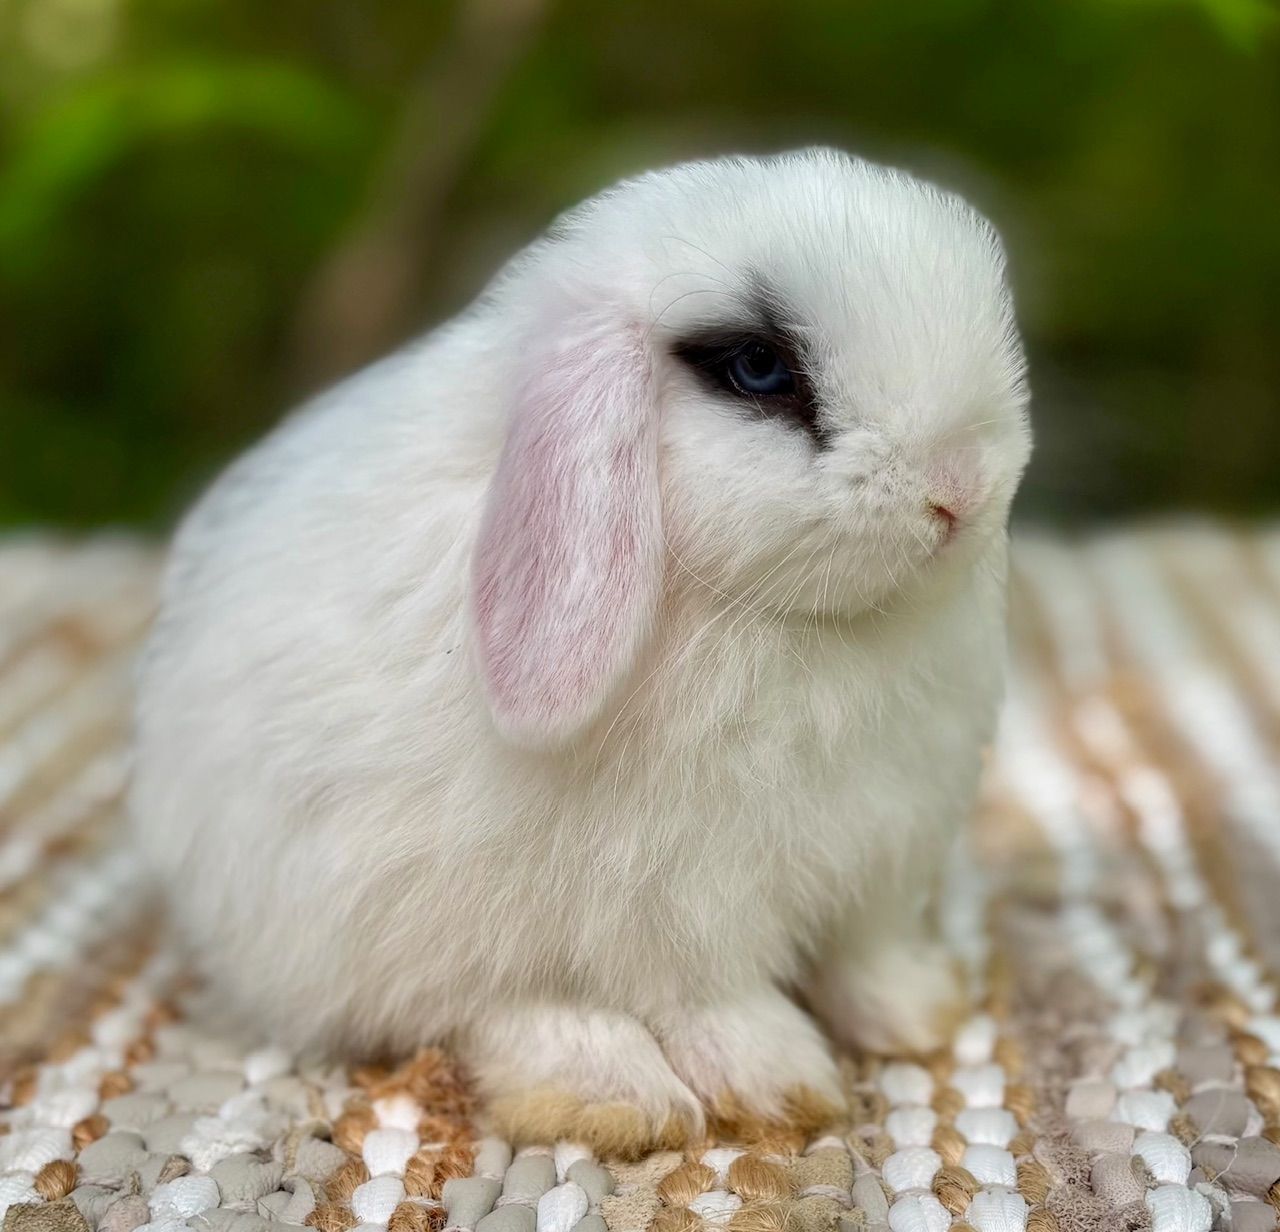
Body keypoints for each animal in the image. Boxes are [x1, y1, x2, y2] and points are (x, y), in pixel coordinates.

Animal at [130, 147, 1031, 1156]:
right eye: (759, 367)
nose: (960, 489)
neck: (804, 625)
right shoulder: (687, 906)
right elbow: (719, 1001)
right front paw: (783, 1086)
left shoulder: (872, 867)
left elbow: (863, 954)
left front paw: (922, 1014)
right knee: (501, 1007)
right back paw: (617, 1100)